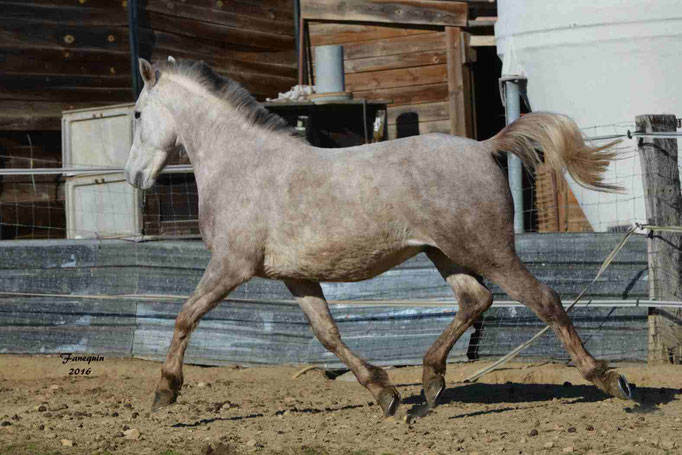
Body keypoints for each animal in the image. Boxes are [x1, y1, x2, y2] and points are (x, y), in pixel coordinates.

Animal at [125, 57, 628, 416]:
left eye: (136, 113)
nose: (134, 177)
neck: (241, 165)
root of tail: (485, 147)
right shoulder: (296, 276)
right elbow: (327, 334)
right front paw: (384, 393)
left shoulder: (231, 265)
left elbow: (185, 317)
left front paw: (165, 392)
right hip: (444, 253)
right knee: (475, 300)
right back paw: (429, 385)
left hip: (488, 251)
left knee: (543, 299)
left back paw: (610, 380)